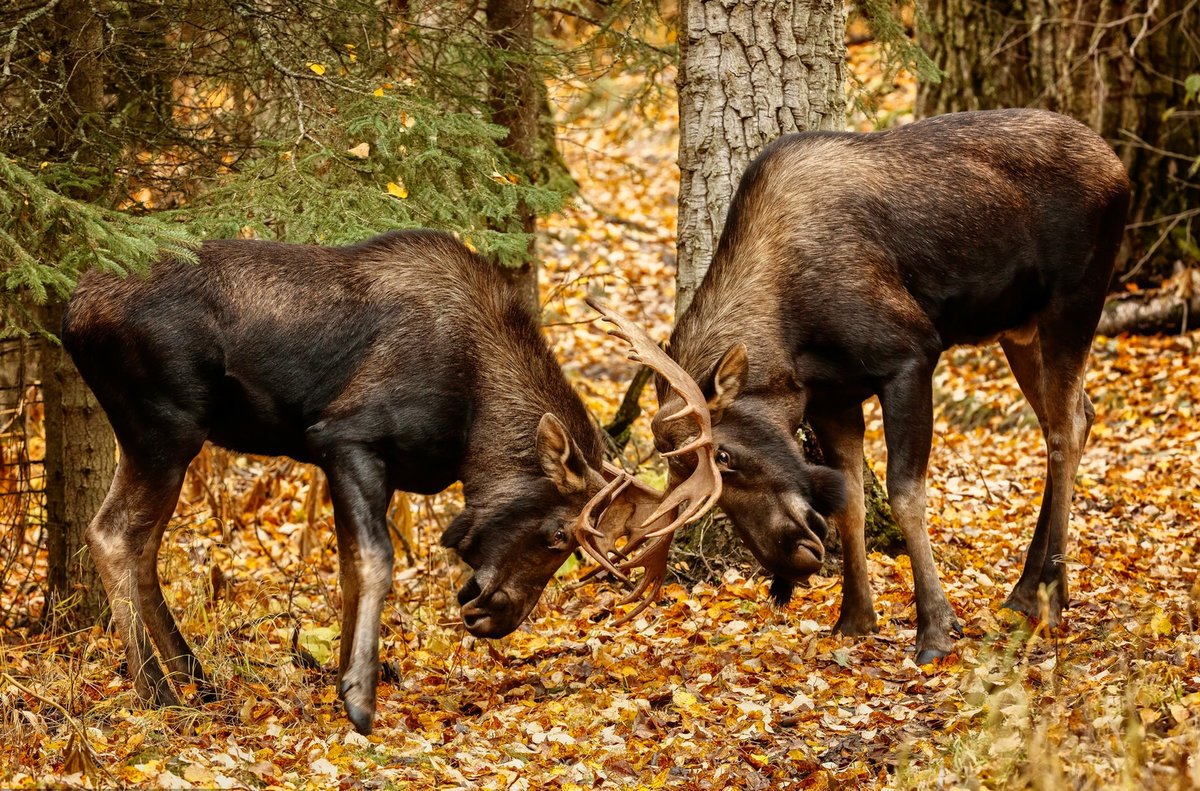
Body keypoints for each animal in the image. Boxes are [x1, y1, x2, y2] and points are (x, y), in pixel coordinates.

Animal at [60, 230, 614, 734]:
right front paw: (360, 698)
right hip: (165, 428)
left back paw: (195, 678)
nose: (500, 617)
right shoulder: (346, 438)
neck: (472, 429)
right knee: (112, 535)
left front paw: (343, 679)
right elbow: (374, 562)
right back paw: (158, 693)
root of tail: (73, 312)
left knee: (143, 547)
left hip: (162, 440)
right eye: (557, 535)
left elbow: (348, 568)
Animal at [624, 109, 1128, 662]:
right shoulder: (832, 399)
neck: (790, 343)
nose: (787, 559)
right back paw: (1025, 590)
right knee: (1078, 415)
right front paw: (855, 617)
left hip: (1075, 301)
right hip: (1018, 329)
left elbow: (905, 493)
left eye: (725, 455)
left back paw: (1052, 597)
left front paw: (935, 629)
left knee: (1064, 430)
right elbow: (850, 502)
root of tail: (1119, 167)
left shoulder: (911, 355)